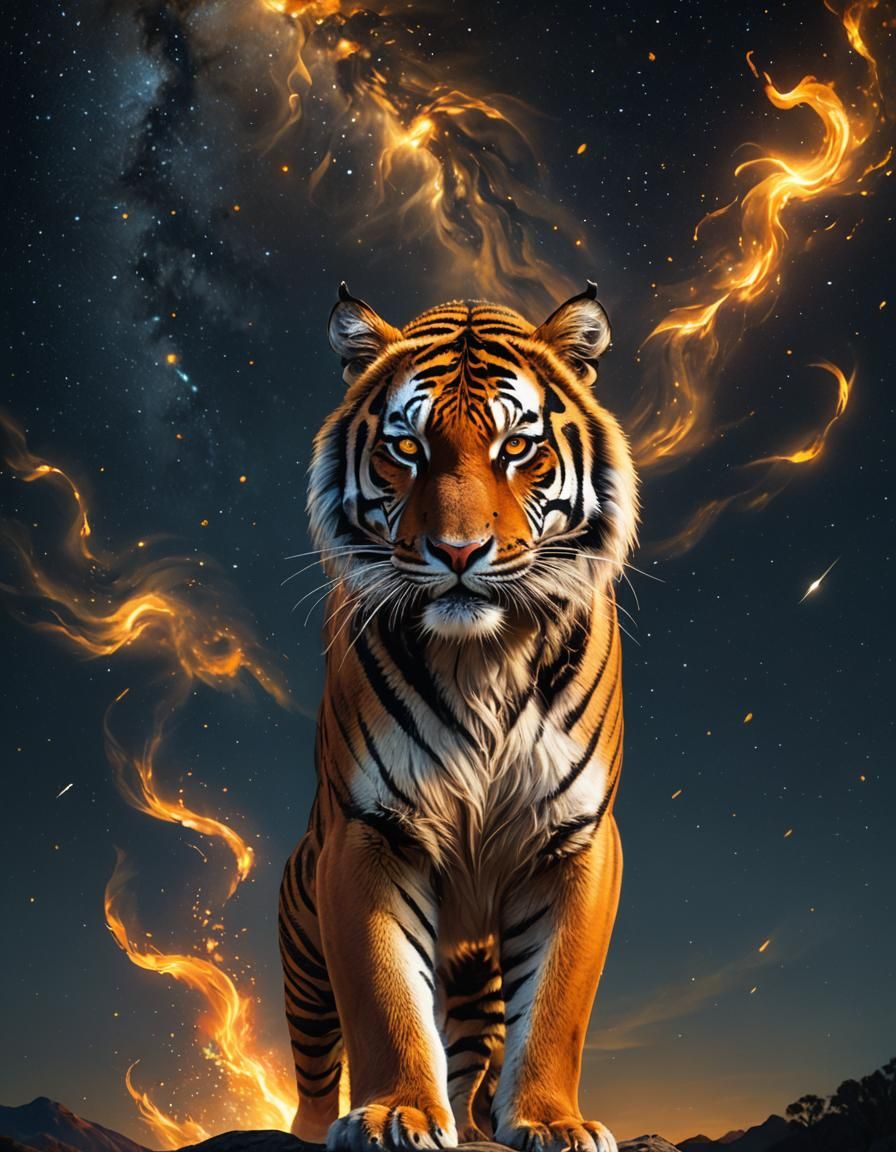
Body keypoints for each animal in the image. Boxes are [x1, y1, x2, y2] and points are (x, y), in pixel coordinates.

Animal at [279, 282, 638, 1152]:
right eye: (406, 449)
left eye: (518, 448)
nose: (459, 552)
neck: (483, 656)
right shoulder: (368, 832)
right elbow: (382, 995)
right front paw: (395, 1113)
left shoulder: (576, 839)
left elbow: (557, 1005)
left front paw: (550, 1120)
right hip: (302, 939)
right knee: (315, 1063)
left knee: (473, 1048)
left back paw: (475, 1121)